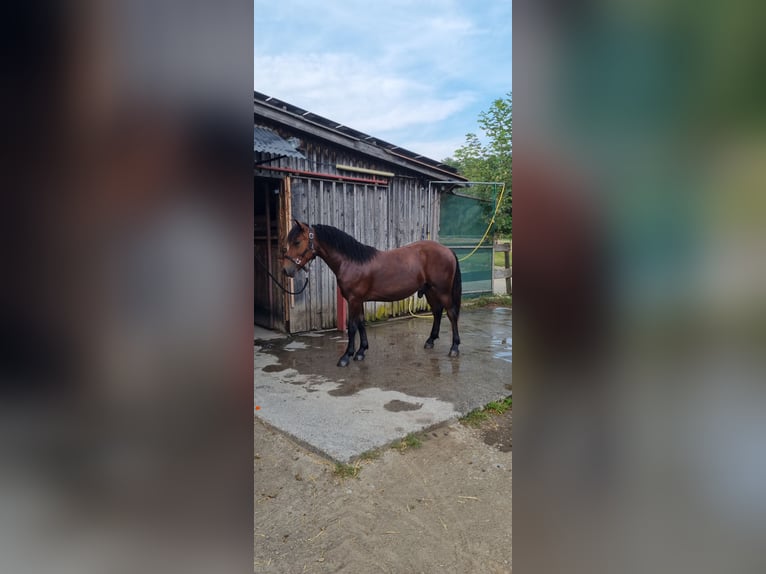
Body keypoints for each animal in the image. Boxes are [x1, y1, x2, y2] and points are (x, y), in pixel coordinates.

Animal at [283, 219, 462, 367]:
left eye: (297, 242)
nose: (286, 270)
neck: (351, 262)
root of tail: (448, 250)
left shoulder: (354, 300)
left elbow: (352, 326)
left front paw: (346, 357)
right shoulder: (359, 300)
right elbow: (361, 323)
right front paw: (361, 351)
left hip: (442, 291)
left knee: (451, 314)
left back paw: (454, 348)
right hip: (430, 290)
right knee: (437, 312)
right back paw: (430, 341)